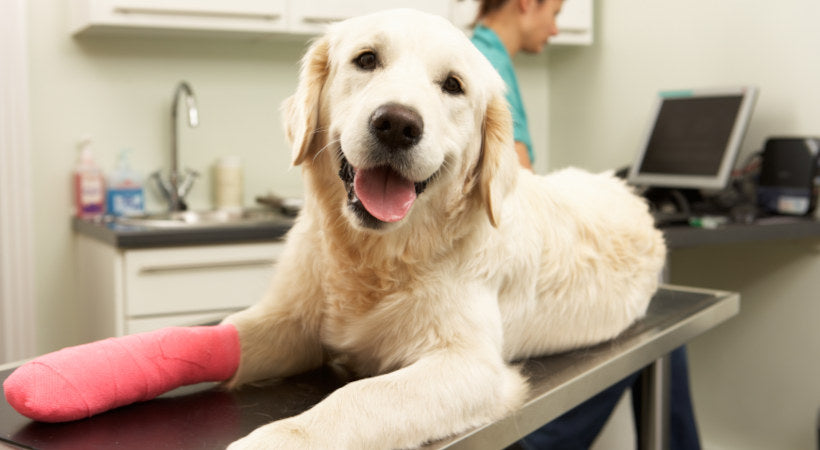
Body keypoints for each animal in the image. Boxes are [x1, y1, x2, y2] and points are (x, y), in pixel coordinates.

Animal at [224, 8, 668, 448]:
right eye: (366, 59)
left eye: (453, 85)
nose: (396, 124)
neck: (377, 254)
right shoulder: (290, 321)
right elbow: (233, 333)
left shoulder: (471, 365)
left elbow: (362, 395)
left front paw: (278, 438)